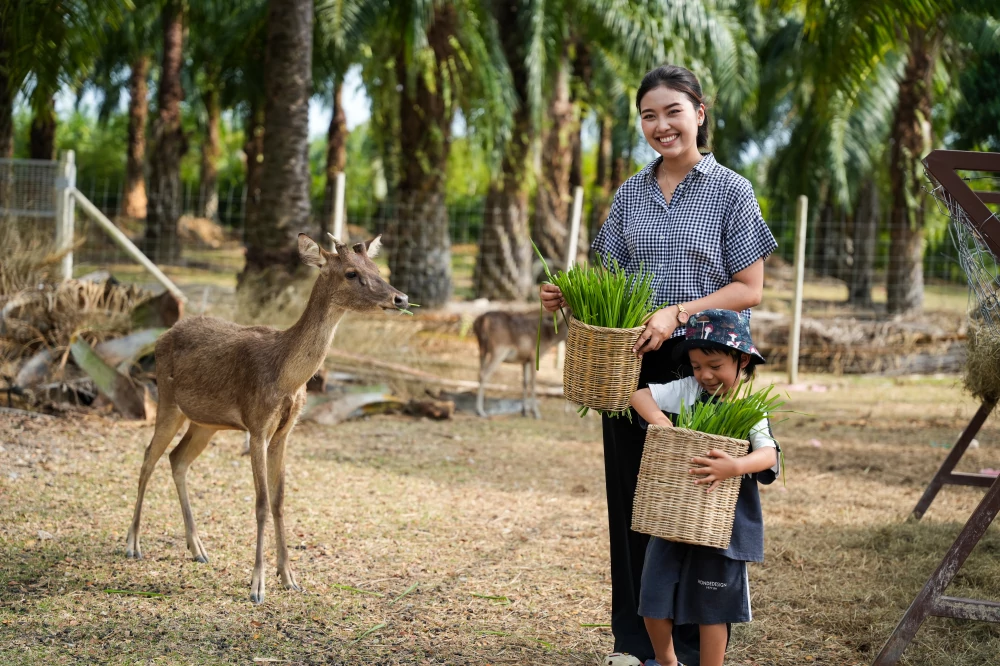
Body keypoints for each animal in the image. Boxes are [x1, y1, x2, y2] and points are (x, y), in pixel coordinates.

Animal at [125, 233, 407, 605]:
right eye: (351, 273)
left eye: (375, 267)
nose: (401, 297)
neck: (288, 378)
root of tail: (162, 335)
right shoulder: (257, 425)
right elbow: (259, 503)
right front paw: (257, 586)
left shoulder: (285, 432)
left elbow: (279, 500)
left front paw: (289, 577)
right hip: (167, 400)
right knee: (147, 458)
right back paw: (133, 544)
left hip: (204, 423)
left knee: (177, 459)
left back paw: (198, 548)